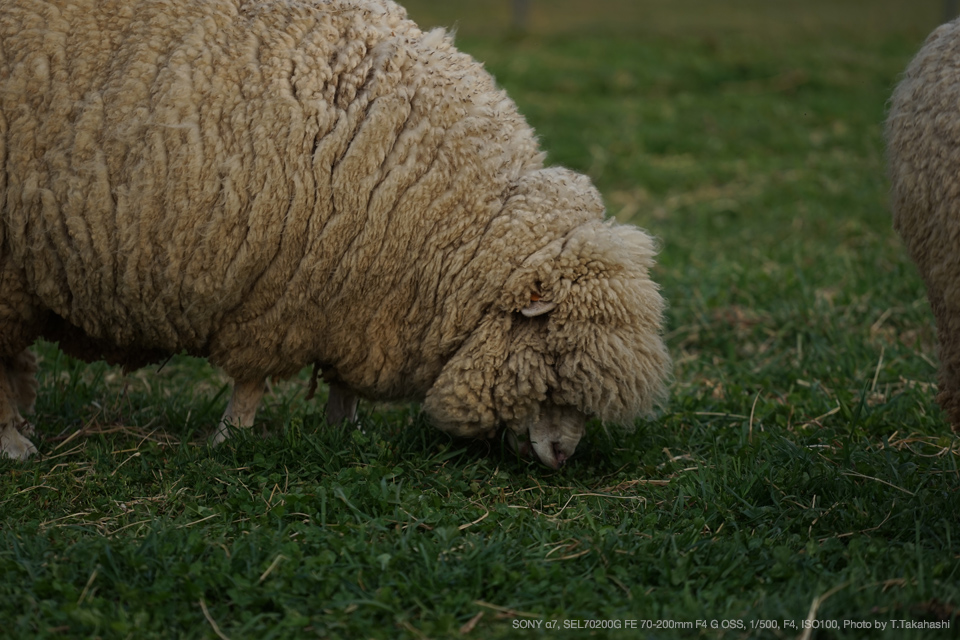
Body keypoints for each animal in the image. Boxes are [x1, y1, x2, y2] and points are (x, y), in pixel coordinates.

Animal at [0, 0, 668, 468]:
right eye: (553, 355)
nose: (561, 459)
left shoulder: (352, 293)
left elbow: (344, 380)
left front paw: (343, 430)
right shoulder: (275, 292)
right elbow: (250, 381)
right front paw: (231, 440)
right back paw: (14, 444)